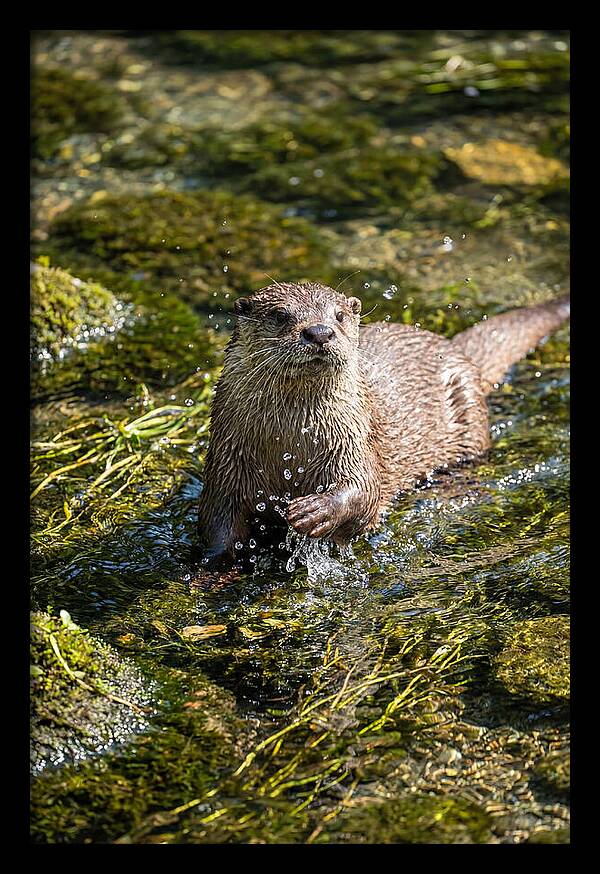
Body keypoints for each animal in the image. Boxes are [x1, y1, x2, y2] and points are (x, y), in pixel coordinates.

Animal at [197, 282, 570, 565]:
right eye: (279, 315)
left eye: (339, 315)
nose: (319, 332)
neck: (290, 445)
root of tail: (453, 348)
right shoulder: (226, 463)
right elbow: (218, 523)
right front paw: (212, 567)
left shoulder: (354, 441)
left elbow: (365, 491)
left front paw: (314, 511)